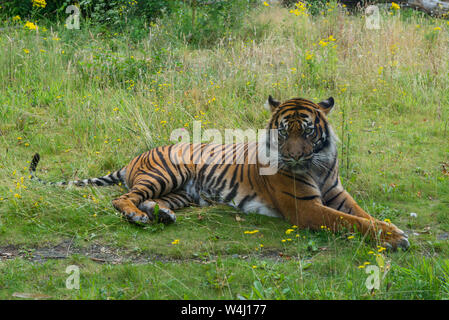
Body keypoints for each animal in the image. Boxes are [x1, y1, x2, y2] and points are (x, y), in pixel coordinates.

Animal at [28, 95, 410, 250]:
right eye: (283, 132)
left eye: (307, 131)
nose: (291, 157)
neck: (316, 164)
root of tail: (136, 156)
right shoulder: (306, 207)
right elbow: (349, 222)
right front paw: (394, 238)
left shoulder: (337, 193)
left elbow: (362, 214)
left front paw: (392, 230)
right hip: (165, 173)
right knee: (124, 197)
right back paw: (137, 216)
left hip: (181, 191)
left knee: (152, 201)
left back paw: (162, 214)